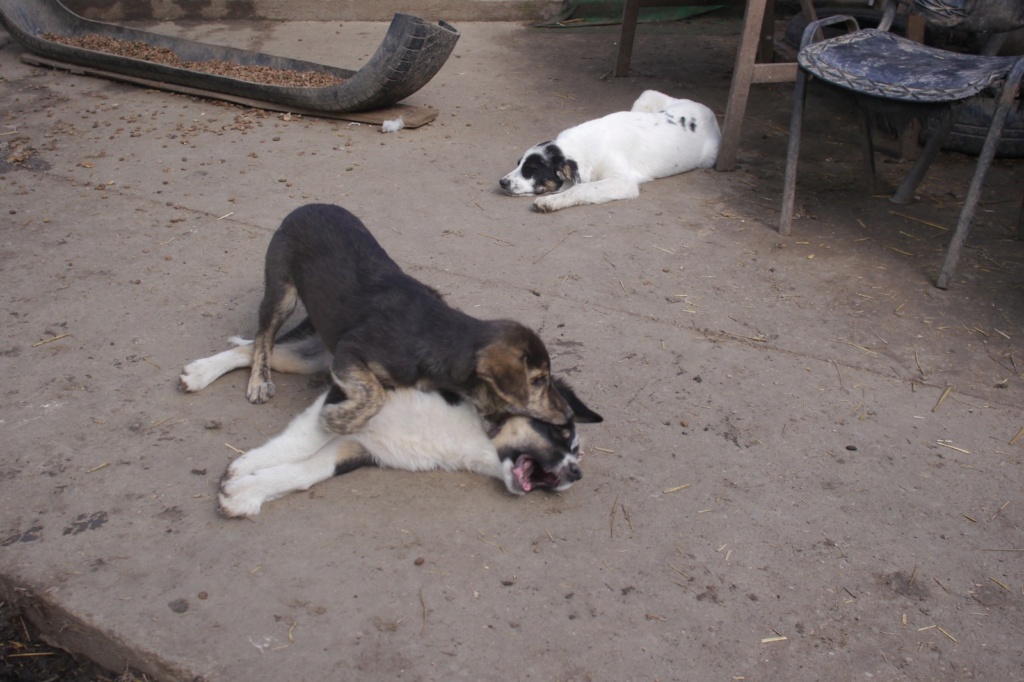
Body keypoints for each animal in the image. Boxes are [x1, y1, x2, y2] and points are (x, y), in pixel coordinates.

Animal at [244, 204, 573, 432]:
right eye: (538, 380)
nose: (570, 414)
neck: (436, 335)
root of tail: (302, 208)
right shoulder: (349, 351)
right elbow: (375, 393)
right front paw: (338, 420)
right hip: (281, 290)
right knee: (263, 336)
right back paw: (259, 381)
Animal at [497, 90, 720, 210]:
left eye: (531, 170)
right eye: (519, 164)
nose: (502, 182)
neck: (581, 148)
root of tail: (706, 109)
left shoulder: (623, 183)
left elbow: (581, 188)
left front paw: (551, 201)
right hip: (646, 96)